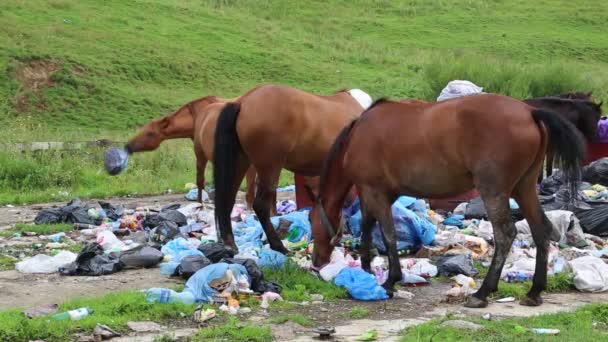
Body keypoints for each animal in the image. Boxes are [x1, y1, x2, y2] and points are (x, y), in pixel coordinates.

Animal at [211, 84, 368, 252]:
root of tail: (243, 101)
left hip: (241, 162)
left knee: (227, 200)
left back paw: (230, 243)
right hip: (270, 167)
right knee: (261, 206)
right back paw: (277, 245)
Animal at [312, 95, 588, 308]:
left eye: (312, 224)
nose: (316, 262)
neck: (358, 135)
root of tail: (530, 112)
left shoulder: (374, 192)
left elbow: (388, 235)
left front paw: (390, 280)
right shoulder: (374, 194)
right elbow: (368, 227)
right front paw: (368, 269)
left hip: (494, 190)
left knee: (505, 234)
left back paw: (483, 292)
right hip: (524, 188)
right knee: (541, 229)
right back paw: (534, 291)